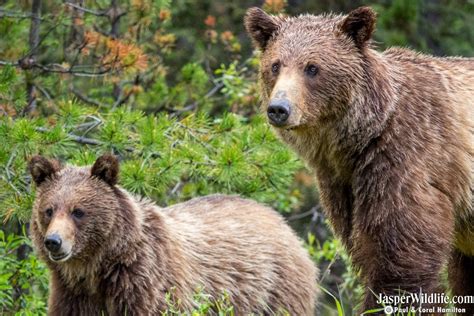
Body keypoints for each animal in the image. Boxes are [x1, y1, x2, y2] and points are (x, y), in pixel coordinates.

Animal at [28, 154, 318, 314]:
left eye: (78, 211)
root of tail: (281, 221)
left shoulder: (147, 285)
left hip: (275, 290)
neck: (96, 269)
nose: (54, 242)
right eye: (49, 210)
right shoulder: (73, 295)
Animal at [246, 5, 472, 314]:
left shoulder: (406, 159)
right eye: (275, 65)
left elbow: (401, 257)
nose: (279, 109)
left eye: (312, 67)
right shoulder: (343, 184)